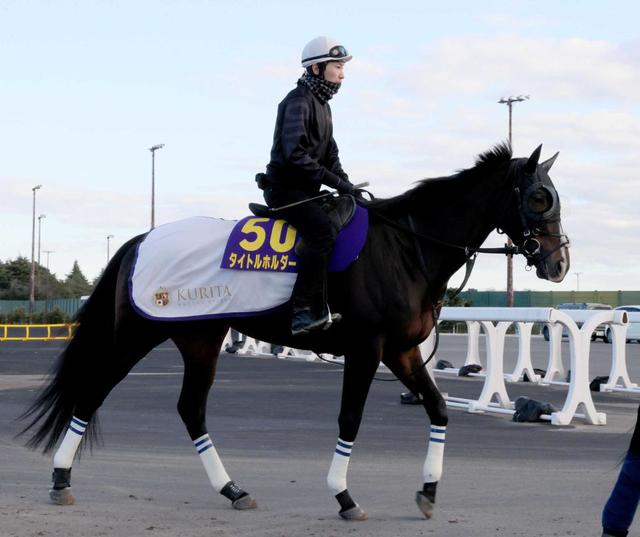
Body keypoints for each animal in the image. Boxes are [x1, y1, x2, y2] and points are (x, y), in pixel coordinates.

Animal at [20, 142, 568, 520]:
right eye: (540, 197)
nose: (559, 262)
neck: (406, 246)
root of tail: (140, 239)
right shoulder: (367, 348)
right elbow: (350, 419)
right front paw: (344, 496)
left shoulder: (403, 351)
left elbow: (437, 409)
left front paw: (429, 490)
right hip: (139, 332)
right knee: (93, 390)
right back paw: (60, 479)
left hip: (200, 339)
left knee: (191, 408)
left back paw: (232, 490)